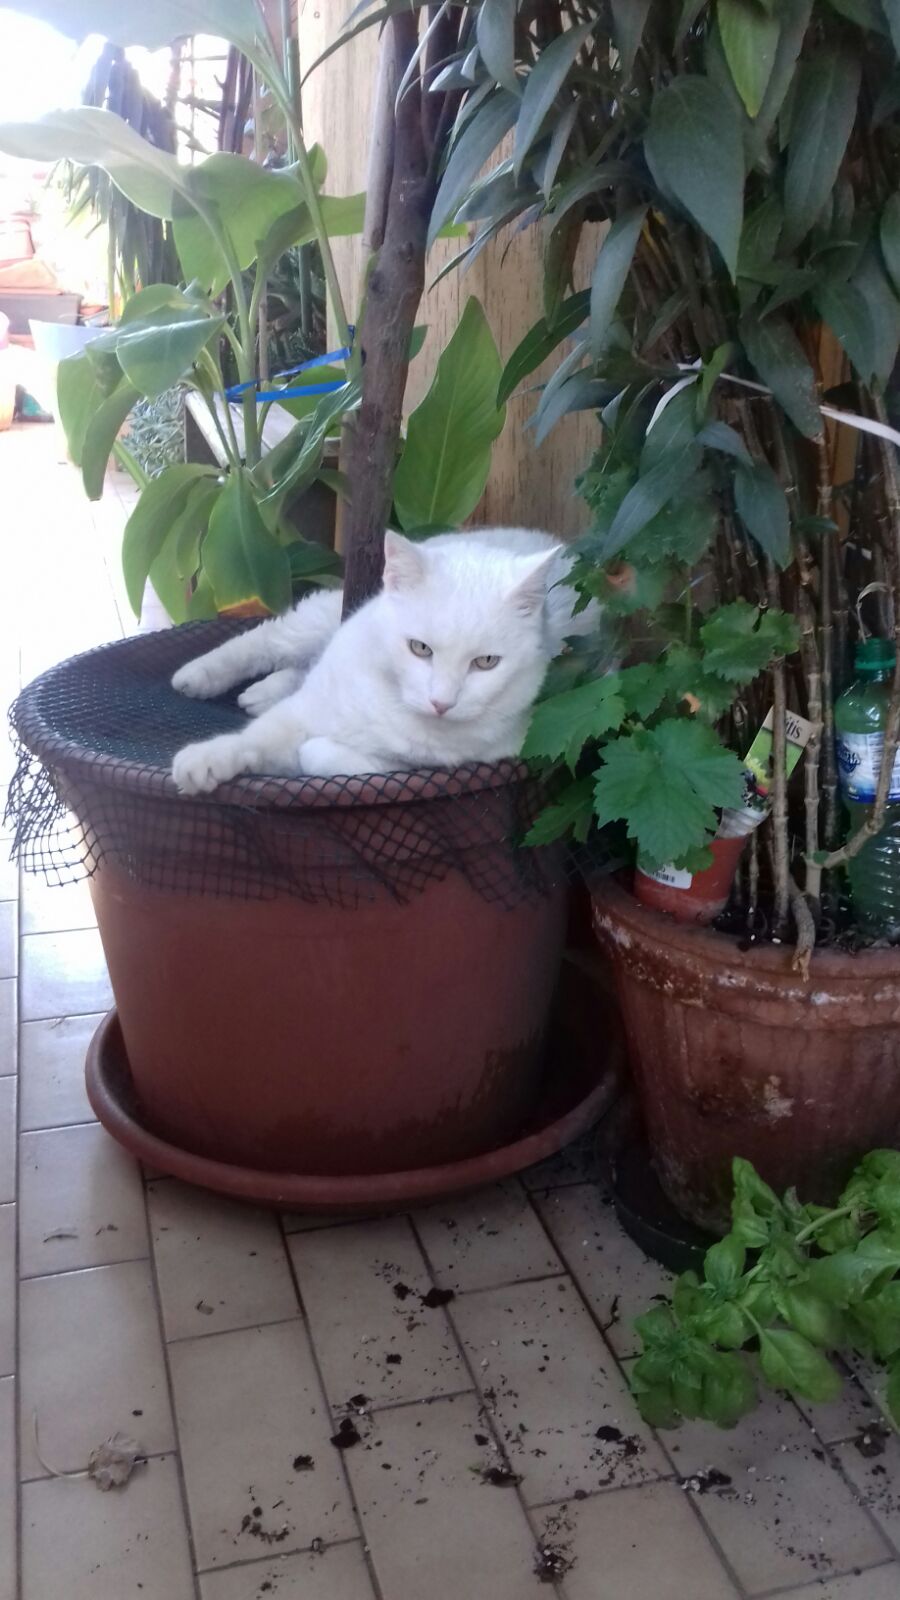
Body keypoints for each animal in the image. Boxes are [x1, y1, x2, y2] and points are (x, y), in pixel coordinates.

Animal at [170, 526, 597, 793]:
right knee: (268, 639)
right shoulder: (304, 712)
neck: (394, 703)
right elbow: (255, 738)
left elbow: (318, 755)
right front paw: (204, 761)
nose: (441, 703)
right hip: (320, 619)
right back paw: (198, 676)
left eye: (486, 662)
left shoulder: (436, 767)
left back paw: (261, 693)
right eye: (420, 648)